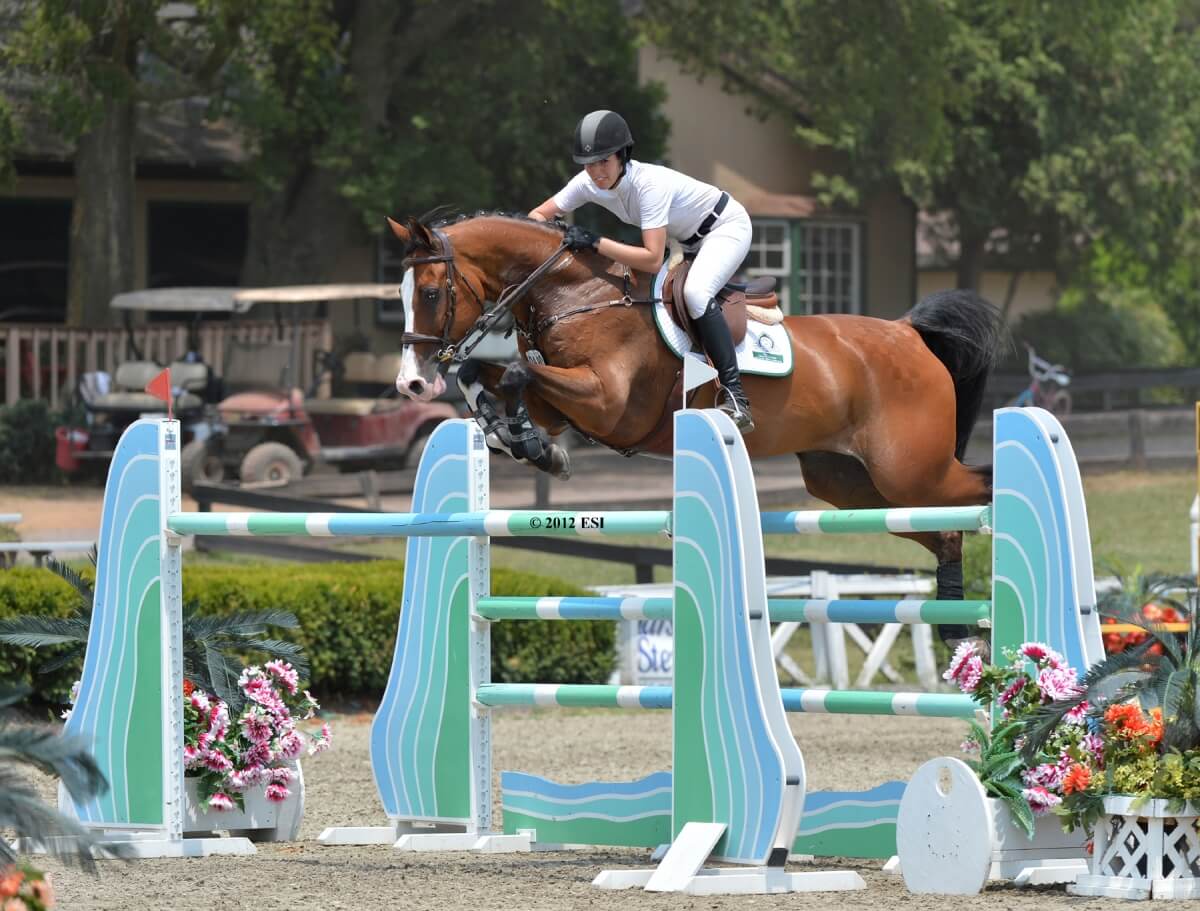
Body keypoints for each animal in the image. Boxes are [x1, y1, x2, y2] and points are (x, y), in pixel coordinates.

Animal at [388, 212, 1005, 643]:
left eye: (431, 293)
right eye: (402, 295)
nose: (411, 383)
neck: (578, 294)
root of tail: (909, 332)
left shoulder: (609, 402)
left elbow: (515, 372)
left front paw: (530, 444)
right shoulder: (564, 403)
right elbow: (486, 375)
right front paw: (522, 442)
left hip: (910, 472)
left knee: (980, 491)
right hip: (851, 485)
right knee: (946, 532)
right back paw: (956, 627)